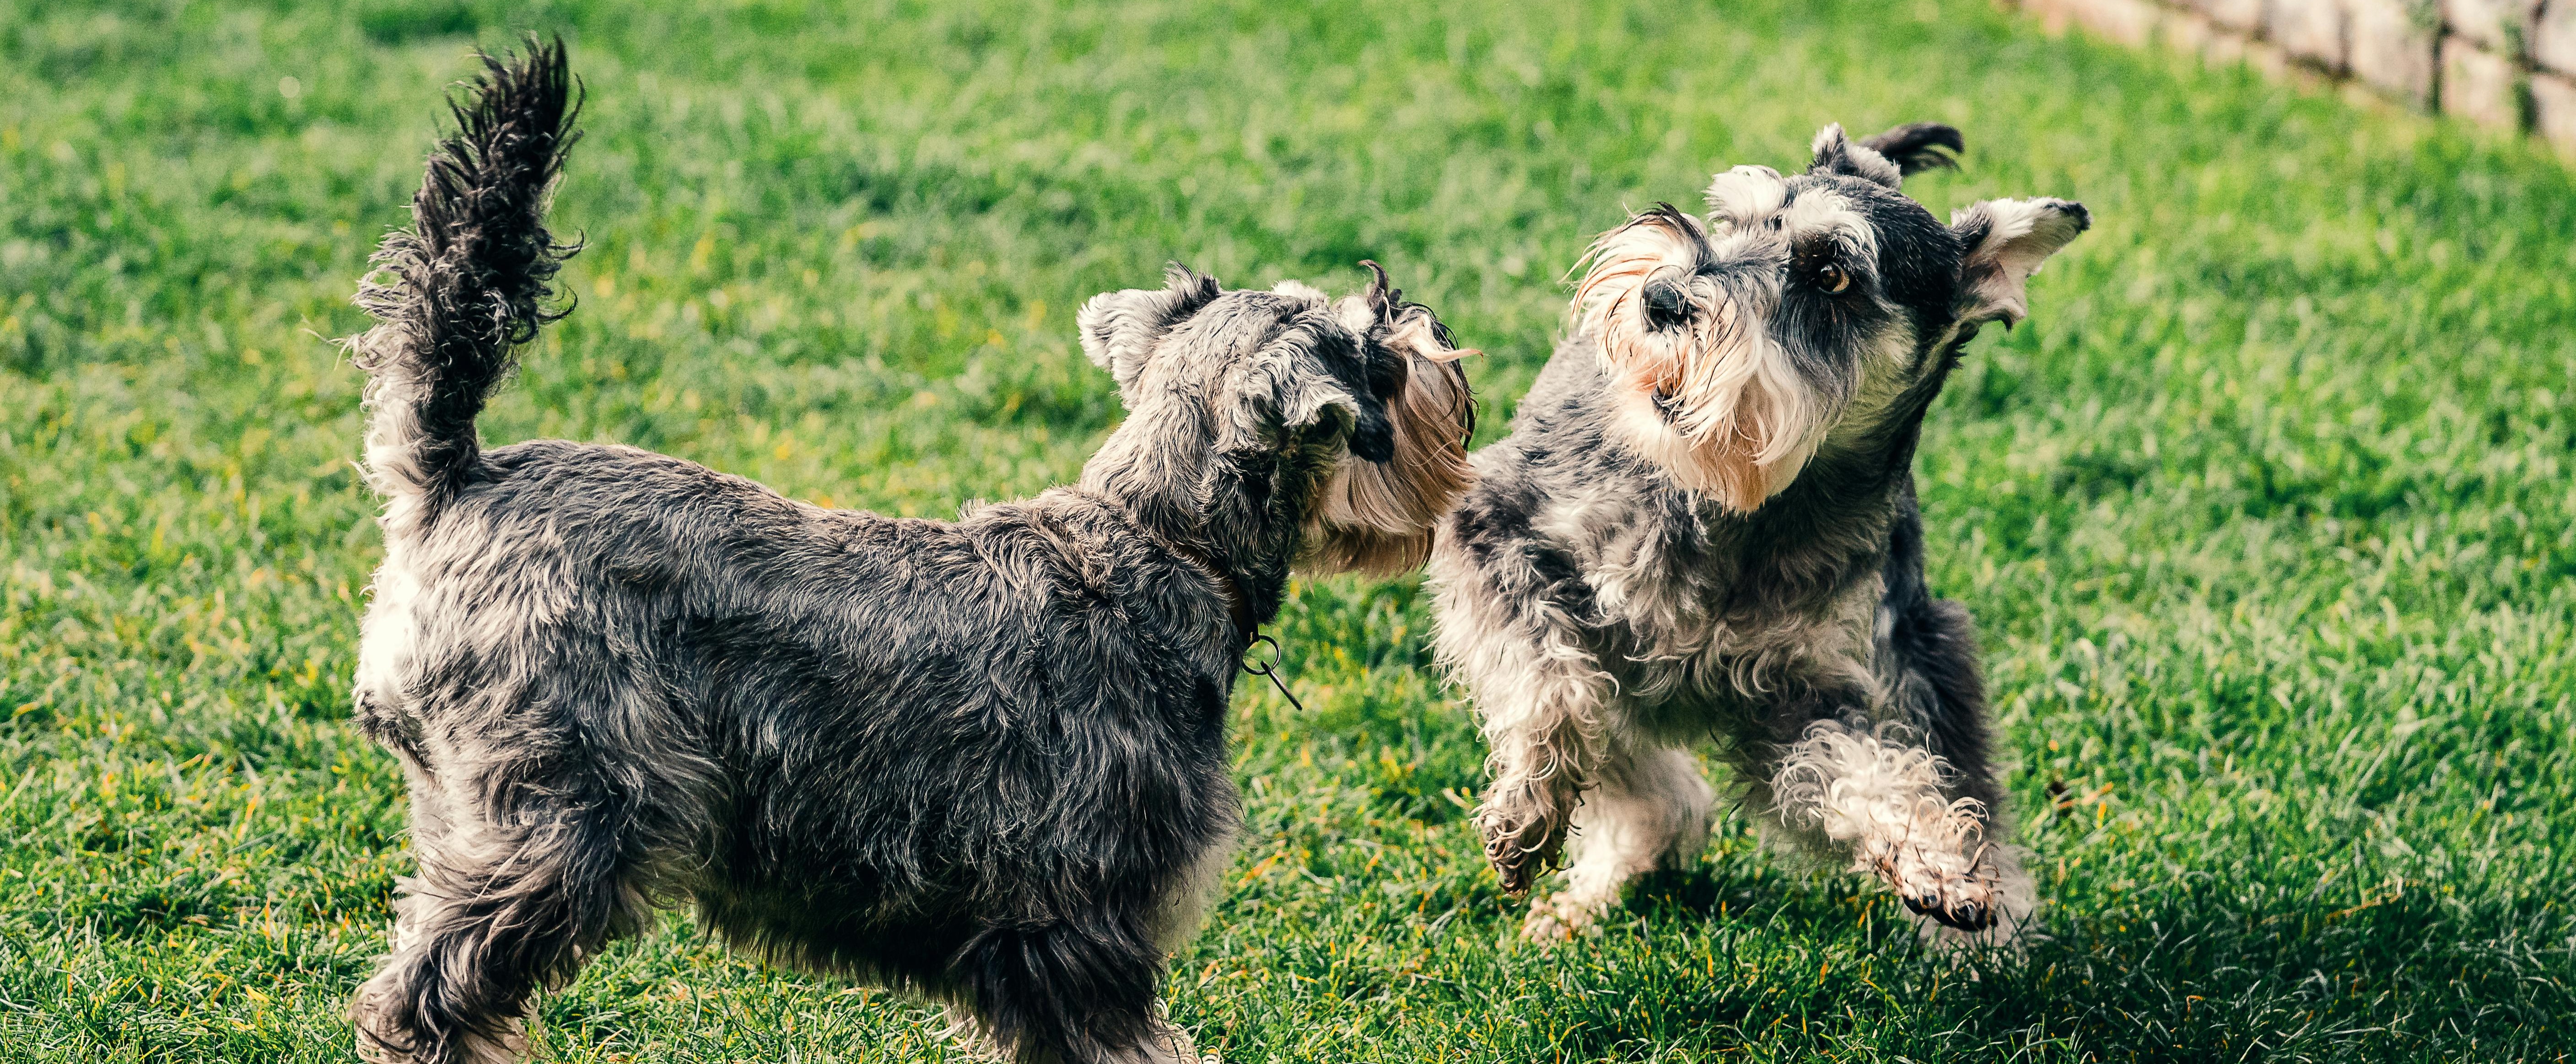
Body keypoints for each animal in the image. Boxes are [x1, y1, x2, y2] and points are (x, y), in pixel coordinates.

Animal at [345, 41, 1483, 1061]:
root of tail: (456, 476)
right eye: (1371, 351)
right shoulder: (1085, 933)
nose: (1426, 325)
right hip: (563, 828)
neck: (1161, 545)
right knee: (423, 999)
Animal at [1432, 120, 2091, 943]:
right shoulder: (1496, 535)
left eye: (1832, 274)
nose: (1661, 297)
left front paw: (1937, 858)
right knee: (1644, 778)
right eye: (1733, 221)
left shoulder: (1804, 696)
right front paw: (1527, 811)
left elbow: (1860, 768)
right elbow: (1550, 685)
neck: (1745, 507)